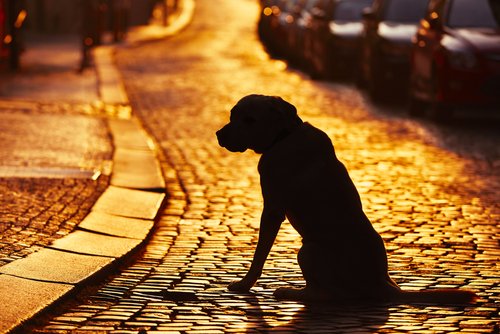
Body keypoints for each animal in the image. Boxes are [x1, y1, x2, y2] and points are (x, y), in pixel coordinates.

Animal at [216, 94, 476, 306]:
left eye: (249, 120)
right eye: (232, 115)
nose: (220, 134)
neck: (284, 136)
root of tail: (383, 285)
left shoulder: (272, 210)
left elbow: (259, 254)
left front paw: (244, 284)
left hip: (308, 250)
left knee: (325, 294)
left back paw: (290, 292)